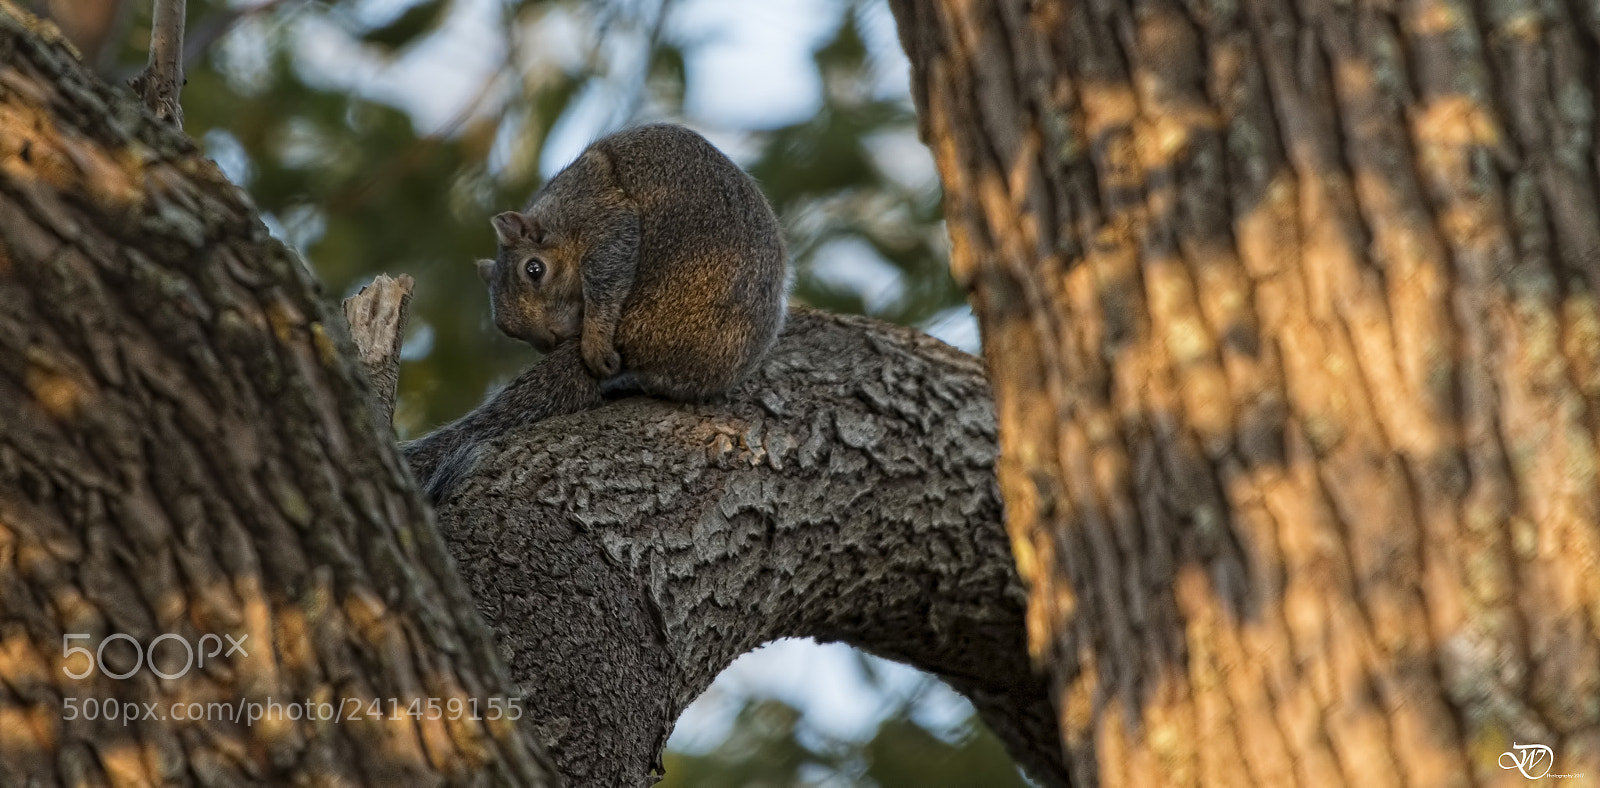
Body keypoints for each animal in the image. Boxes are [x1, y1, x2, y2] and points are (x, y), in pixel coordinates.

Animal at [405, 123, 789, 502]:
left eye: (534, 269)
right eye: (505, 327)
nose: (551, 339)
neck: (555, 213)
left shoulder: (601, 214)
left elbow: (608, 265)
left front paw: (595, 339)